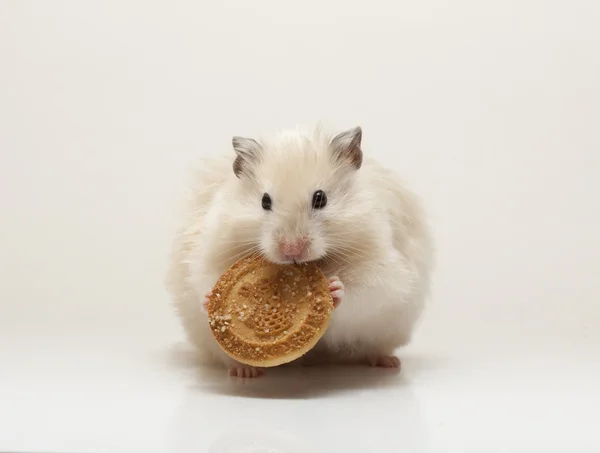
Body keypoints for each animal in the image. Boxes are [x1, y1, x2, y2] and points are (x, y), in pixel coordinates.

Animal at [166, 125, 434, 376]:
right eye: (265, 201)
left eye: (320, 198)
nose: (291, 250)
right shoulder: (210, 255)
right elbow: (206, 280)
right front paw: (210, 298)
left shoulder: (383, 270)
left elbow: (364, 290)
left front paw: (334, 287)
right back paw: (245, 372)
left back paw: (387, 362)